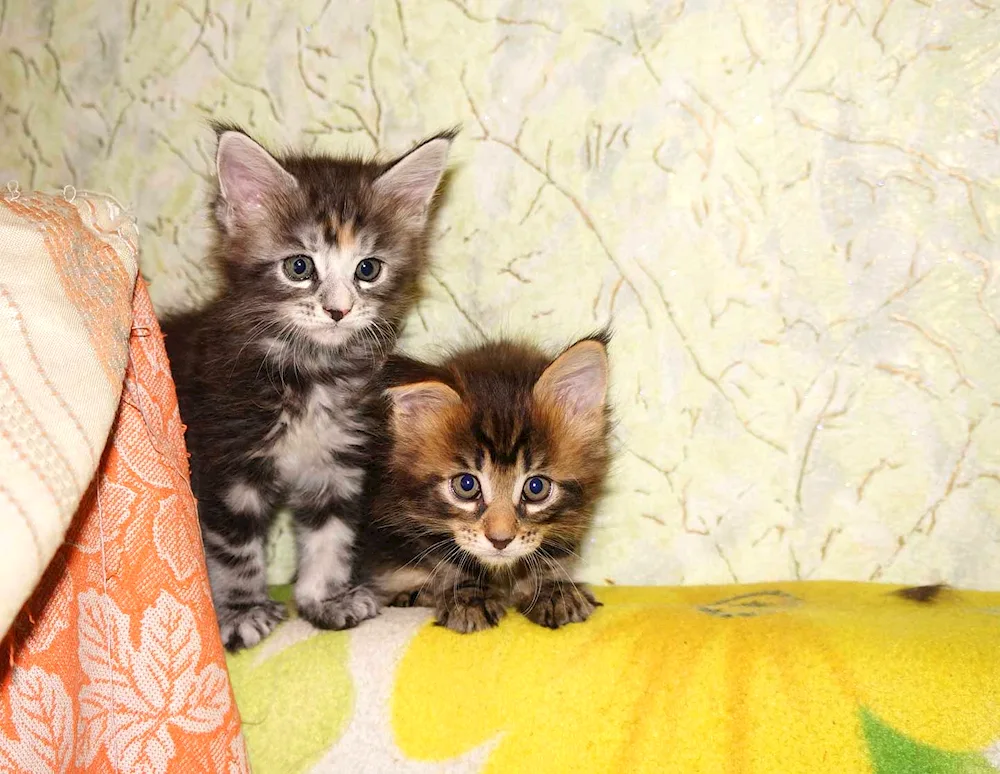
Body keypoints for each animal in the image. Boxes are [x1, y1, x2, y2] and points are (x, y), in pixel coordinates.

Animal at [163, 124, 454, 652]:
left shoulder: (336, 465)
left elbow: (330, 537)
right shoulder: (225, 465)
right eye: (299, 267)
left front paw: (327, 598)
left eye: (368, 269)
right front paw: (240, 612)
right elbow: (233, 550)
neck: (310, 372)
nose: (339, 310)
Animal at [360, 332, 608, 632]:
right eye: (466, 485)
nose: (500, 541)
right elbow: (448, 560)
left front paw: (553, 589)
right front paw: (469, 596)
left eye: (536, 487)